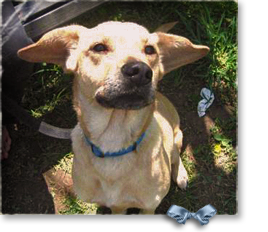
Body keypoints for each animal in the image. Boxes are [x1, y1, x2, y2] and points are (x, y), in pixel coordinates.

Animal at [18, 21, 209, 214]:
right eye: (99, 47)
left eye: (149, 49)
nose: (141, 71)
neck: (114, 143)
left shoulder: (148, 207)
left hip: (176, 137)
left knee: (176, 156)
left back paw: (181, 174)